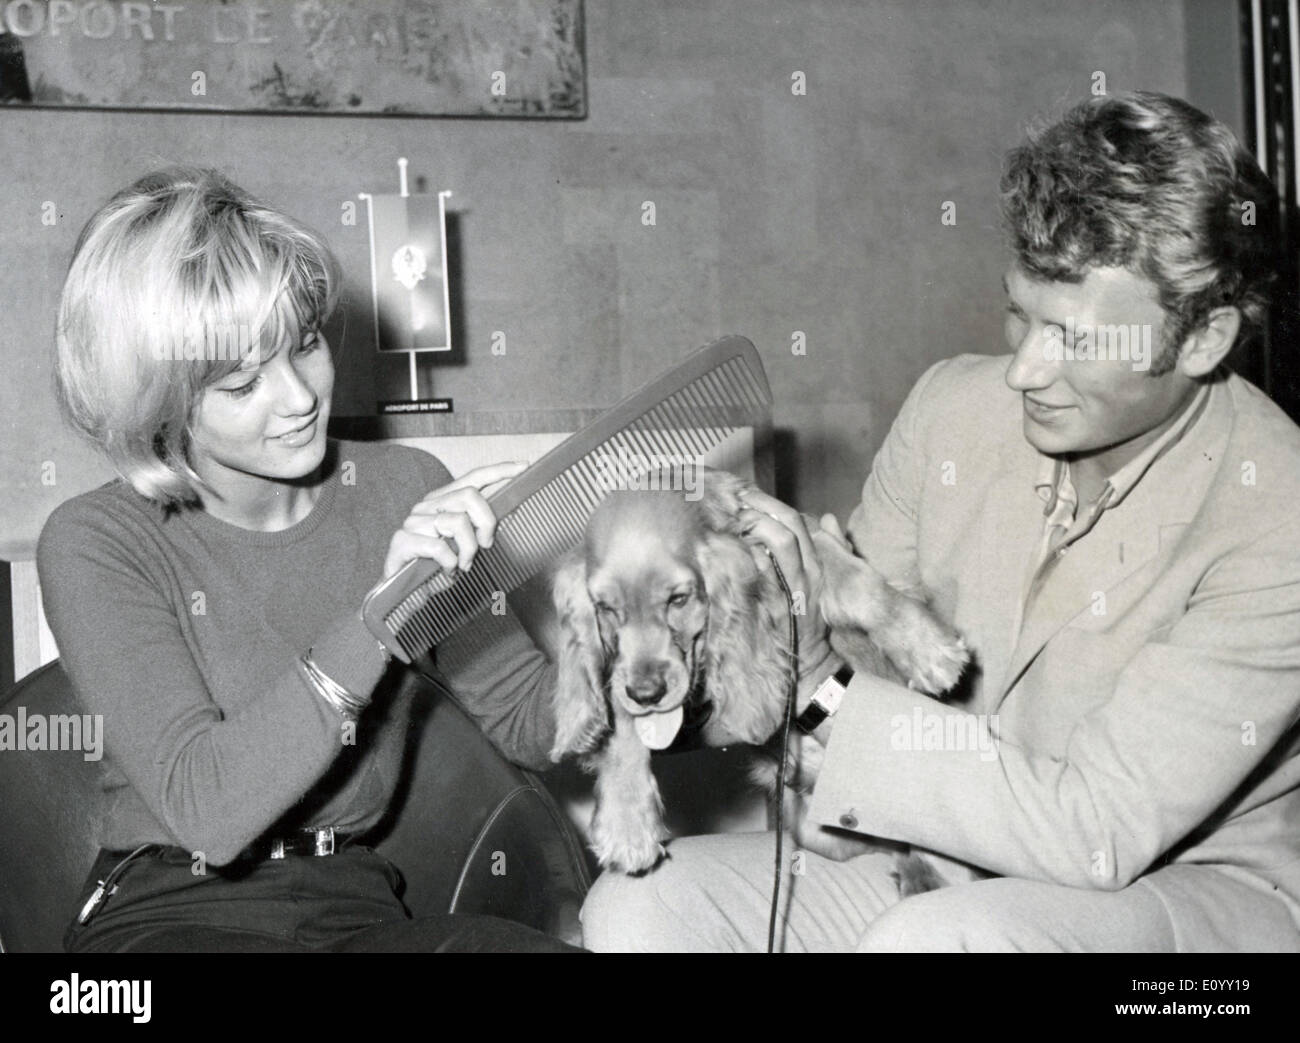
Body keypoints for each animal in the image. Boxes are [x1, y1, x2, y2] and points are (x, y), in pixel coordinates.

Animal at [543, 470, 972, 884]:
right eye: (605, 608)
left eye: (678, 599)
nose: (647, 694)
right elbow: (621, 715)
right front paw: (627, 823)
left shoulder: (802, 534)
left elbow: (862, 590)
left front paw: (928, 650)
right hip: (810, 828)